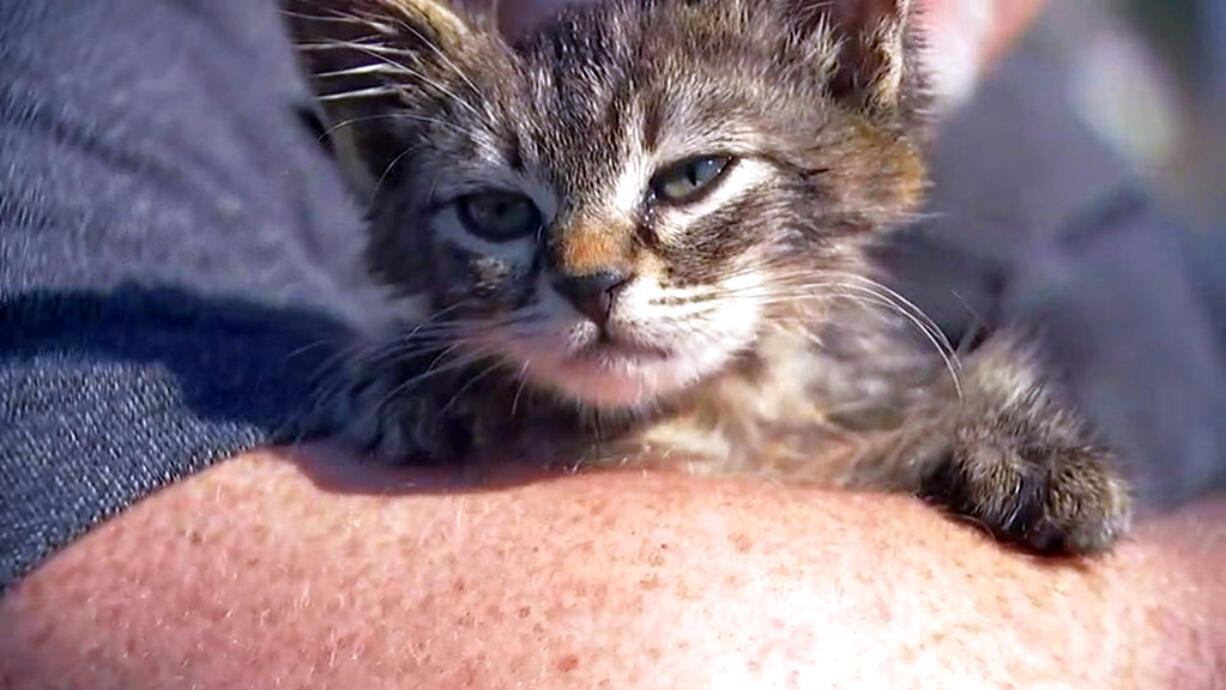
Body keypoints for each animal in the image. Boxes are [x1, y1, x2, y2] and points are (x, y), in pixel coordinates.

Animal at [284, 0, 1127, 556]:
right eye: (495, 212)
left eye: (693, 177)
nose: (591, 285)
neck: (706, 418)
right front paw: (428, 382)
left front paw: (1025, 448)